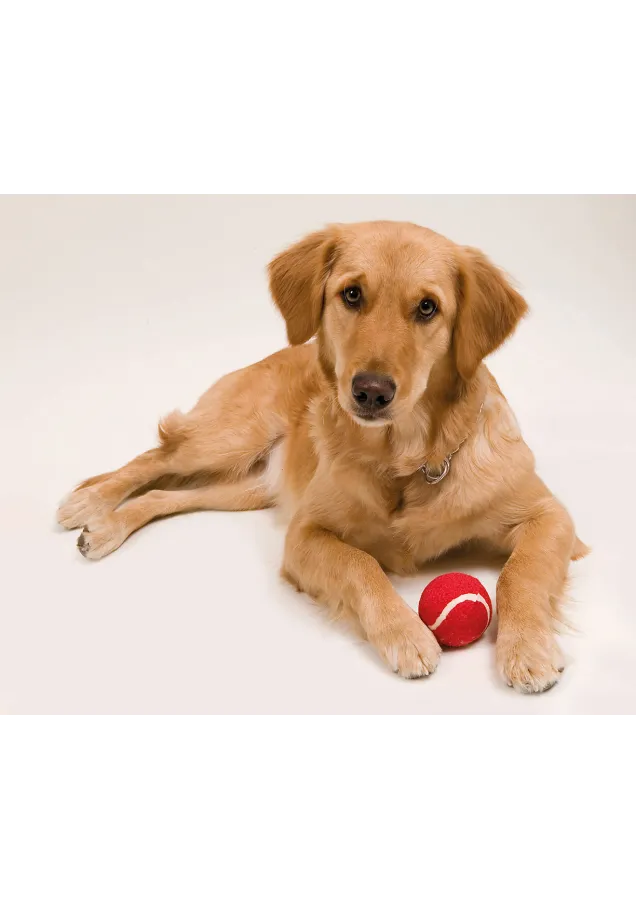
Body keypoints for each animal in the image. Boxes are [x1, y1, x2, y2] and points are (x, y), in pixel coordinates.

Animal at [57, 223, 588, 692]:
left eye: (428, 307)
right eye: (352, 294)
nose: (370, 391)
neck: (410, 461)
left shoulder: (549, 516)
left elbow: (519, 574)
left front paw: (527, 648)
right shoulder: (305, 535)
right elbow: (361, 564)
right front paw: (406, 633)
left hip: (245, 487)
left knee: (166, 496)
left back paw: (105, 528)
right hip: (230, 436)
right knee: (156, 457)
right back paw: (89, 504)